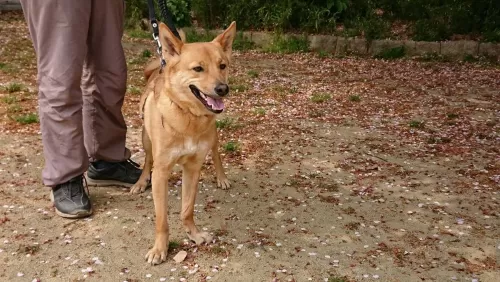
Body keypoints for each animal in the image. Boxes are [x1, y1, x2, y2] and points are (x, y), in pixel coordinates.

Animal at [131, 21, 236, 264]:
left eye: (222, 65)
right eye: (198, 69)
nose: (223, 89)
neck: (188, 117)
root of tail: (160, 69)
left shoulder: (193, 167)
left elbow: (187, 208)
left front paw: (193, 234)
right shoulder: (161, 173)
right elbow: (162, 219)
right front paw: (160, 248)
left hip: (213, 137)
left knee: (216, 153)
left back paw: (222, 177)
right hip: (146, 139)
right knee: (147, 160)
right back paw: (140, 181)